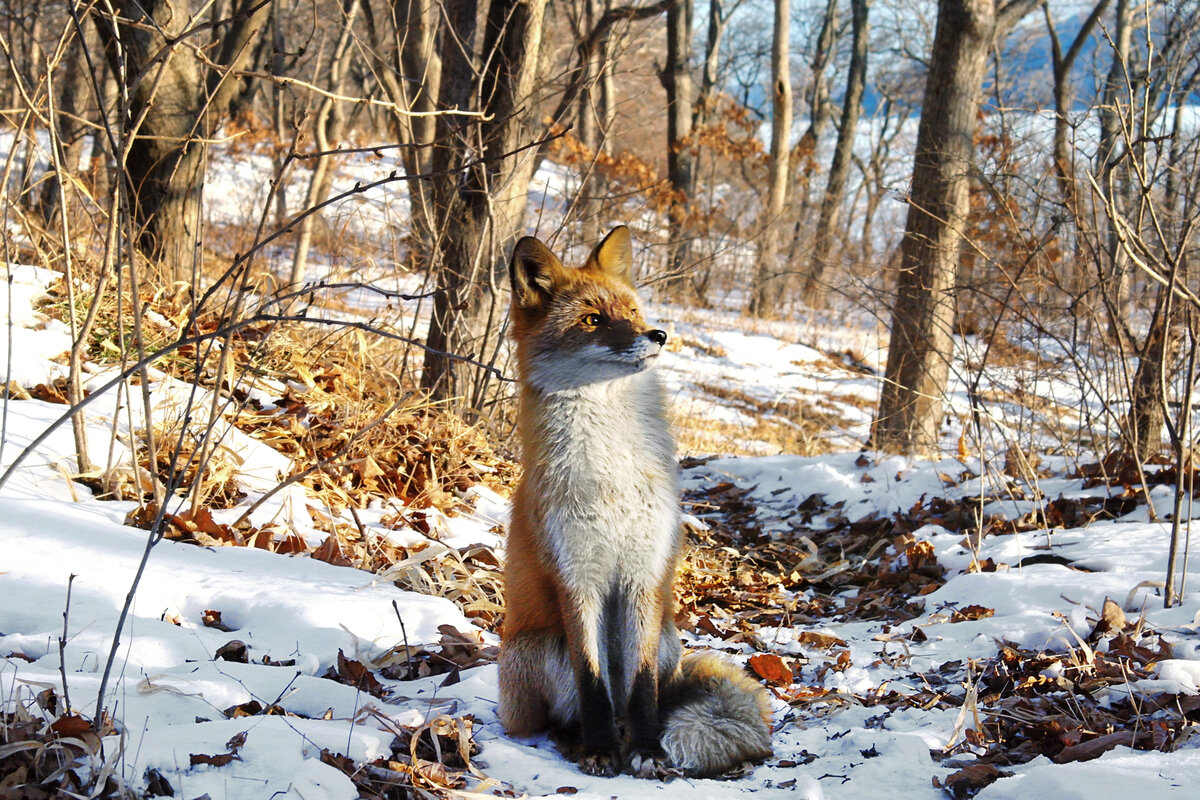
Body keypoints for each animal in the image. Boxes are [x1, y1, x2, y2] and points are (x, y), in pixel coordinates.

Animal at [499, 225, 772, 777]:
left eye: (631, 311)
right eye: (591, 320)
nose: (658, 335)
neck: (613, 475)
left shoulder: (642, 575)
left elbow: (642, 688)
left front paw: (646, 750)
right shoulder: (577, 578)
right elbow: (592, 684)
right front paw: (602, 749)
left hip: (667, 640)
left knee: (650, 694)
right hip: (537, 649)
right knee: (558, 716)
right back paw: (577, 739)